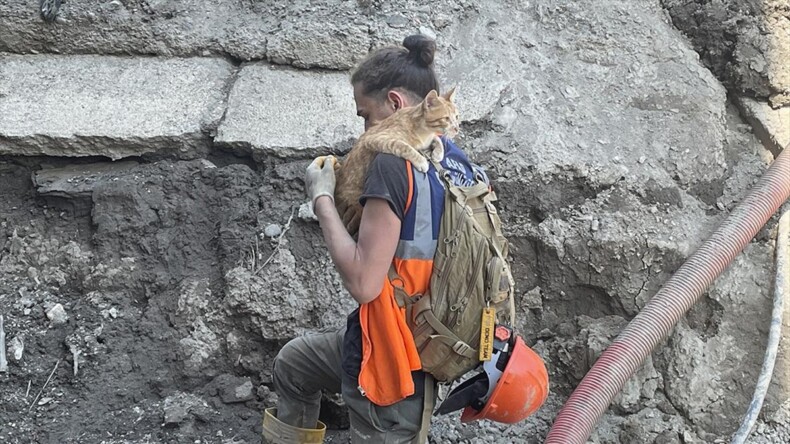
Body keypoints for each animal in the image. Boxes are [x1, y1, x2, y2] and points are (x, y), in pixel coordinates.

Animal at [338, 84, 460, 234]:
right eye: (446, 118)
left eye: (457, 117)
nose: (457, 128)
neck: (424, 132)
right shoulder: (376, 138)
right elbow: (403, 146)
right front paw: (421, 161)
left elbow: (437, 139)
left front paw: (438, 152)